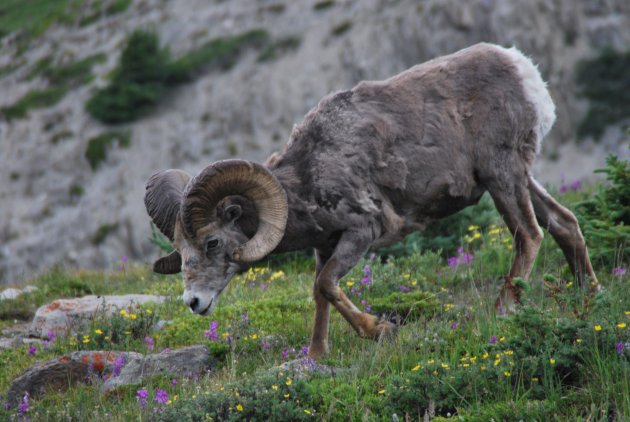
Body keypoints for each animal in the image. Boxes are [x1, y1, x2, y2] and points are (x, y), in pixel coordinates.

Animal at [146, 43, 600, 356]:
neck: (312, 172)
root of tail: (524, 72)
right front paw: (317, 353)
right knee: (563, 223)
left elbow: (327, 284)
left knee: (529, 234)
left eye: (212, 242)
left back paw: (503, 309)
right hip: (518, 177)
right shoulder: (324, 246)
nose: (193, 303)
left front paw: (379, 330)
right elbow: (318, 293)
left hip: (502, 176)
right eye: (180, 250)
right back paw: (589, 295)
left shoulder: (362, 232)